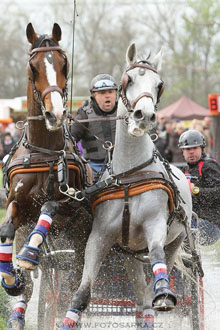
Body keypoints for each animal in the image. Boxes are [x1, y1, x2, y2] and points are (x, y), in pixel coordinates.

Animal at [0, 23, 92, 330]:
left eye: (64, 64)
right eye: (33, 67)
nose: (55, 114)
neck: (43, 152)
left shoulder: (72, 204)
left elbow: (50, 205)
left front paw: (30, 253)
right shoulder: (18, 205)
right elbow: (6, 228)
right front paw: (12, 277)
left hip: (81, 237)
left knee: (76, 279)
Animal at [59, 43, 192, 330]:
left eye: (159, 85)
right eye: (127, 80)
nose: (145, 116)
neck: (130, 175)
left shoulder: (155, 225)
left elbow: (156, 255)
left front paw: (164, 293)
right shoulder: (99, 236)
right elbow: (82, 292)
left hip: (176, 240)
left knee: (152, 285)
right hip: (131, 253)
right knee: (141, 297)